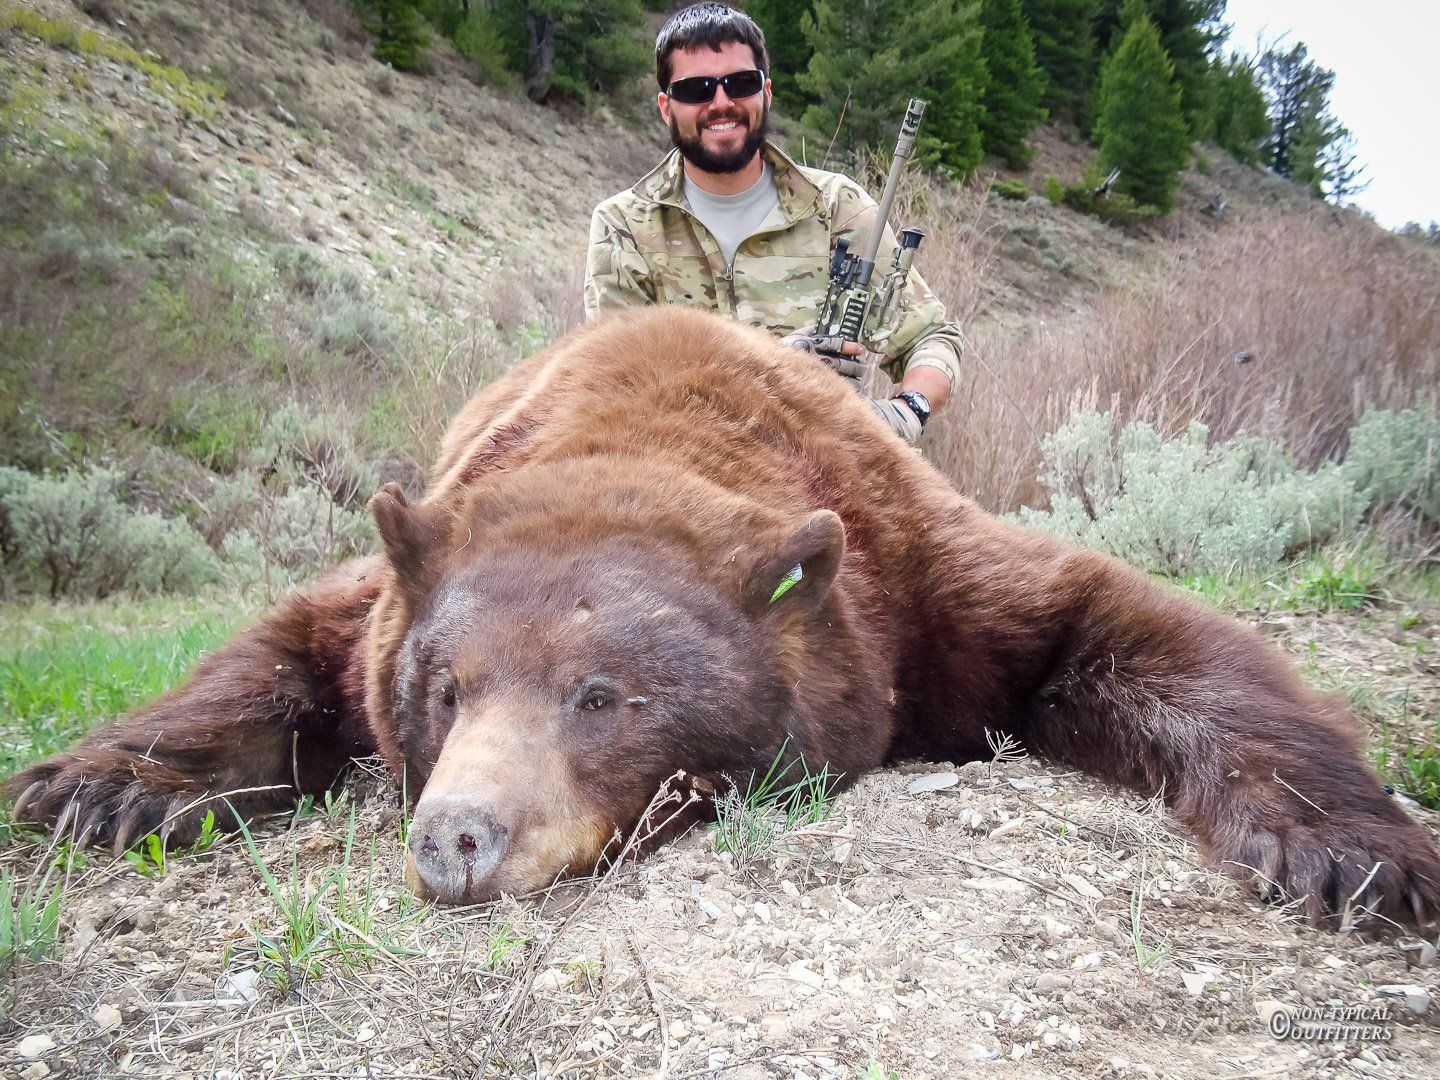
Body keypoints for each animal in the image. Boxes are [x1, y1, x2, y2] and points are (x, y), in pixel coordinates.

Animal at [7, 306, 1439, 926]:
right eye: (445, 687)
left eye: (598, 696)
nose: (456, 837)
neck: (647, 421)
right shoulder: (403, 572)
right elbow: (287, 644)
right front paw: (98, 784)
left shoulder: (915, 575)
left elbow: (1130, 627)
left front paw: (1354, 851)